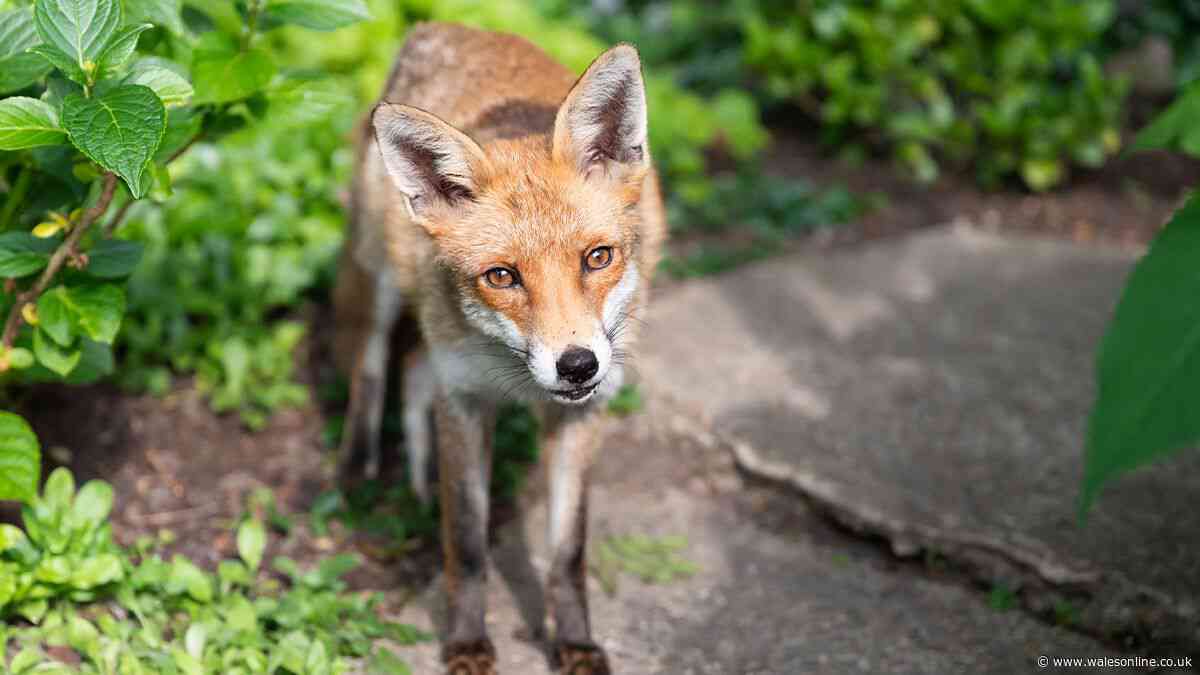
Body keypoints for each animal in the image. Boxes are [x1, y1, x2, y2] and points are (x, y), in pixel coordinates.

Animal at [332, 22, 666, 675]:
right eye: (503, 276)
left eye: (598, 257)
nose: (577, 365)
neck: (513, 378)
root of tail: (436, 28)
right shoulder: (464, 398)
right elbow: (466, 541)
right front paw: (465, 642)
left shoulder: (583, 414)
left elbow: (568, 552)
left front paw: (576, 643)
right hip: (380, 279)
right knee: (372, 362)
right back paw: (359, 466)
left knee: (412, 369)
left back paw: (421, 477)